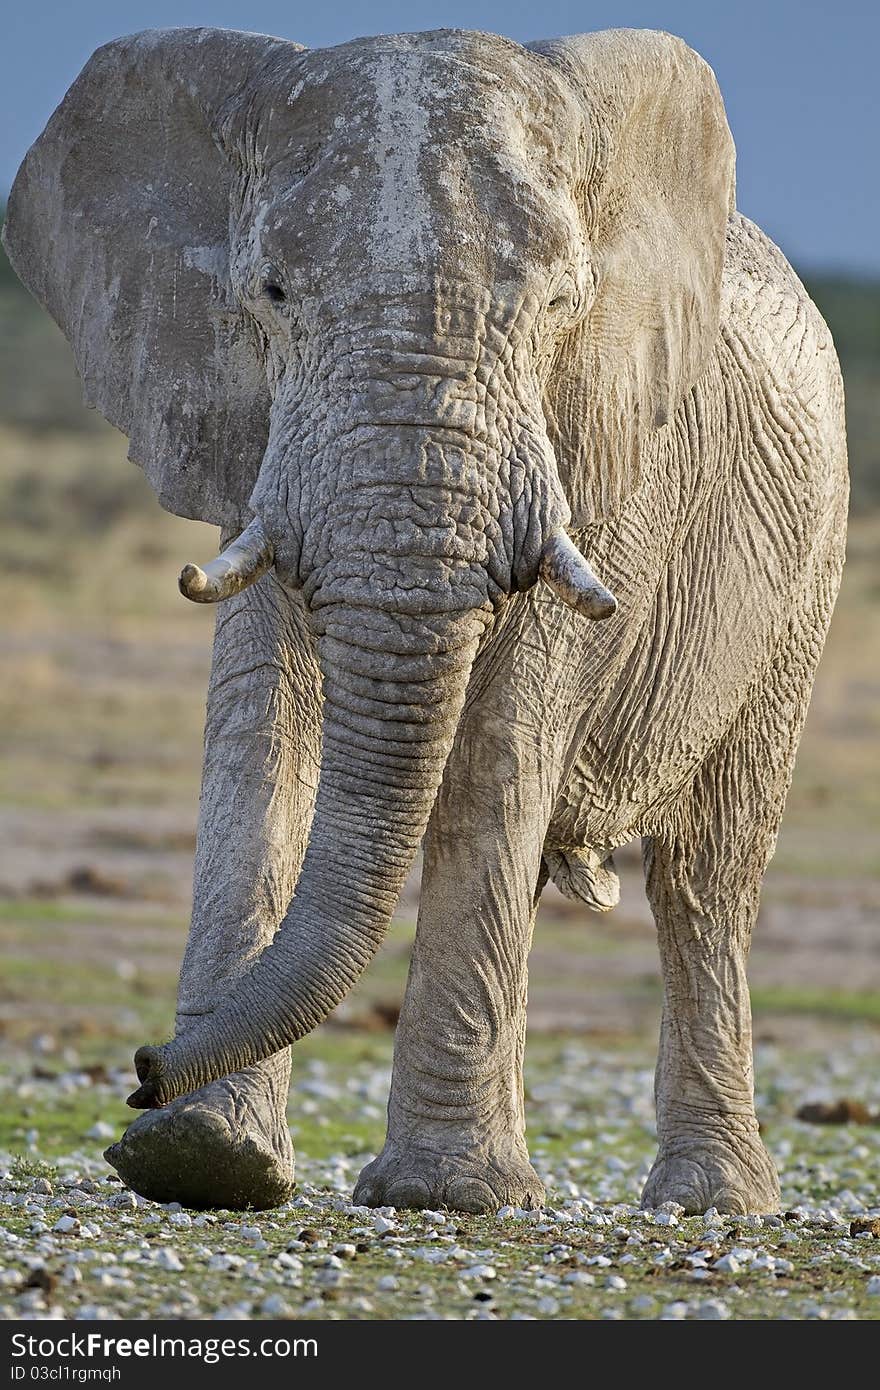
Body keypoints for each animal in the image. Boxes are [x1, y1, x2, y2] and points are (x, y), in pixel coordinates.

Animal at [3, 24, 845, 1217]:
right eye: (270, 294)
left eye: (559, 307)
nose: (141, 1069)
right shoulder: (249, 433)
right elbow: (263, 725)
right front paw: (200, 1160)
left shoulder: (605, 450)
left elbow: (501, 739)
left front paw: (448, 1195)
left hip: (805, 575)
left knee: (707, 877)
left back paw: (711, 1202)